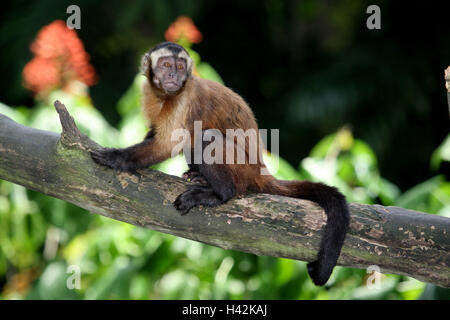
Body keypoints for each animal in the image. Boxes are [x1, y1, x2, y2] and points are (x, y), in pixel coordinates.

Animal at [91, 42, 350, 284]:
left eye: (180, 67)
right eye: (166, 65)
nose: (173, 75)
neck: (166, 95)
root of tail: (259, 170)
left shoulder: (185, 98)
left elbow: (166, 144)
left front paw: (115, 158)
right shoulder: (147, 91)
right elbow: (157, 134)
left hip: (241, 168)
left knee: (206, 138)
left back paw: (219, 193)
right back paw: (199, 176)